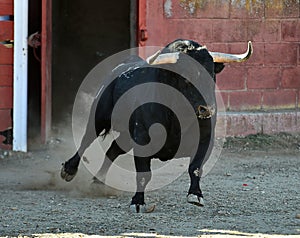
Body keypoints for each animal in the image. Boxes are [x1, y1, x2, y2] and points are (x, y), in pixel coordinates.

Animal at [60, 39, 251, 214]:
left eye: (211, 74)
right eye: (185, 76)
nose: (207, 109)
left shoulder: (205, 139)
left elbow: (195, 168)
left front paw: (196, 195)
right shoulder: (142, 140)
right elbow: (144, 174)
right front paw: (138, 202)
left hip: (127, 136)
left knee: (113, 150)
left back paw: (98, 181)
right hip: (99, 115)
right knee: (86, 140)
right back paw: (69, 170)